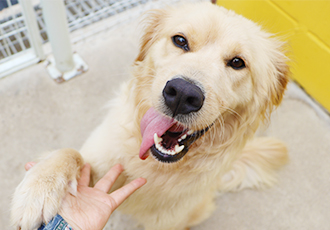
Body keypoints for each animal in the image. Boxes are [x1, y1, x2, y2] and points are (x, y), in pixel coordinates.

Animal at [10, 2, 288, 230]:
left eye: (238, 62)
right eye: (180, 40)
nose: (182, 94)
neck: (154, 165)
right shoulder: (100, 164)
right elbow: (71, 154)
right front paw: (38, 190)